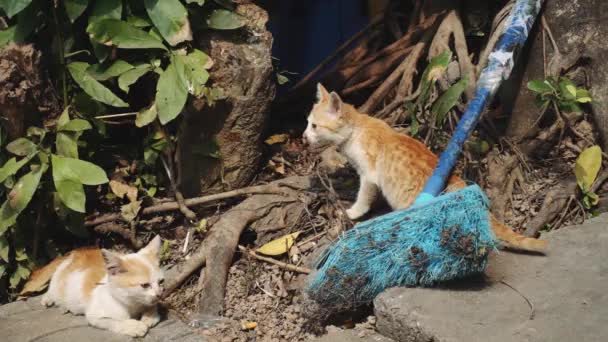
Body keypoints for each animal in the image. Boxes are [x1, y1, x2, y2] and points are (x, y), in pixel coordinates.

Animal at [28, 235, 163, 336]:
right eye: (145, 285)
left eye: (161, 282)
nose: (159, 295)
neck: (131, 303)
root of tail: (74, 252)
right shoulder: (95, 316)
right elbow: (114, 321)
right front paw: (133, 326)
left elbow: (152, 305)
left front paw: (150, 316)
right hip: (58, 282)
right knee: (52, 290)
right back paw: (50, 299)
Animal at [304, 84, 548, 252]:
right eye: (307, 123)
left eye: (314, 126)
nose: (304, 137)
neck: (357, 129)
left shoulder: (369, 175)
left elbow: (363, 196)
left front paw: (354, 211)